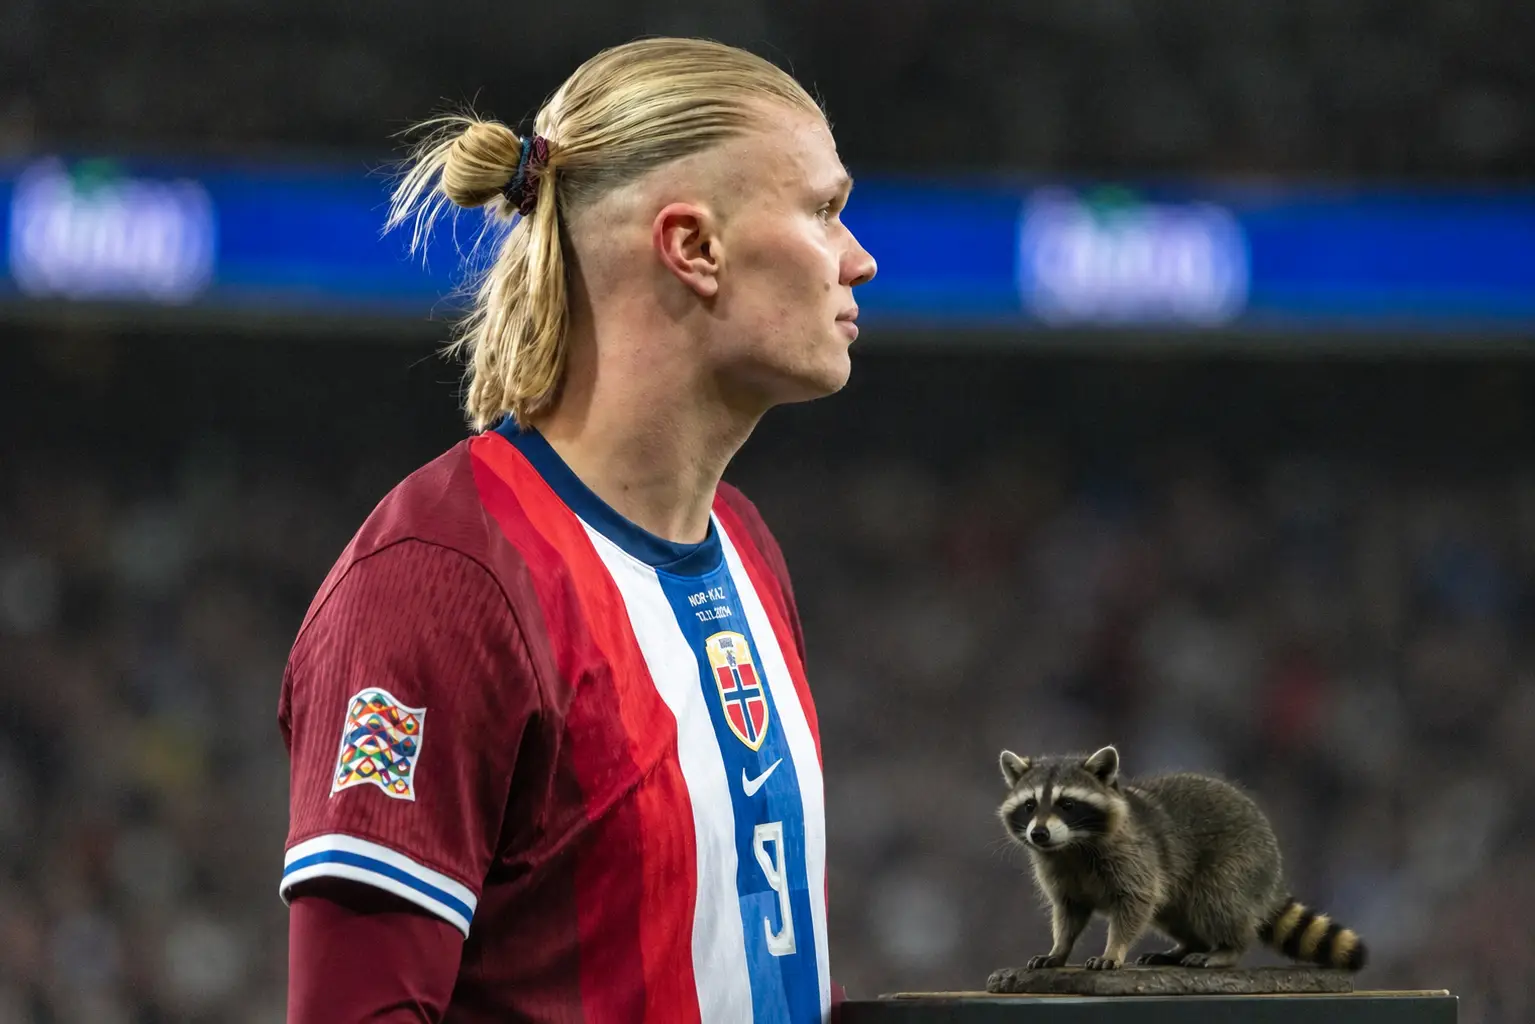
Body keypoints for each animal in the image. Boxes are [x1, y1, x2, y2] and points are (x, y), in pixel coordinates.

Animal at [995, 745, 1367, 973]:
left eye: (1067, 804)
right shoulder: (1060, 872)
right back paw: (1185, 945)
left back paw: (1227, 948)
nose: (1039, 834)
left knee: (1217, 900)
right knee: (1174, 910)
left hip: (1240, 861)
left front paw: (1114, 949)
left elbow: (1135, 904)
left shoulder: (1135, 859)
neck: (1072, 846)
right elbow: (1068, 912)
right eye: (1030, 805)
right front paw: (1059, 948)